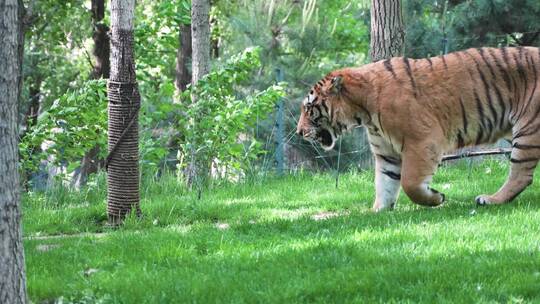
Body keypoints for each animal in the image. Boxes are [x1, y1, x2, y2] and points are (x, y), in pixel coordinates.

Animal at [298, 47, 536, 211]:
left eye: (309, 108)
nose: (299, 132)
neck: (363, 111)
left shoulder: (422, 140)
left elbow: (409, 183)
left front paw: (436, 197)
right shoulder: (386, 153)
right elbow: (384, 184)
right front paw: (378, 211)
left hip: (528, 128)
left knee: (521, 174)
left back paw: (491, 200)